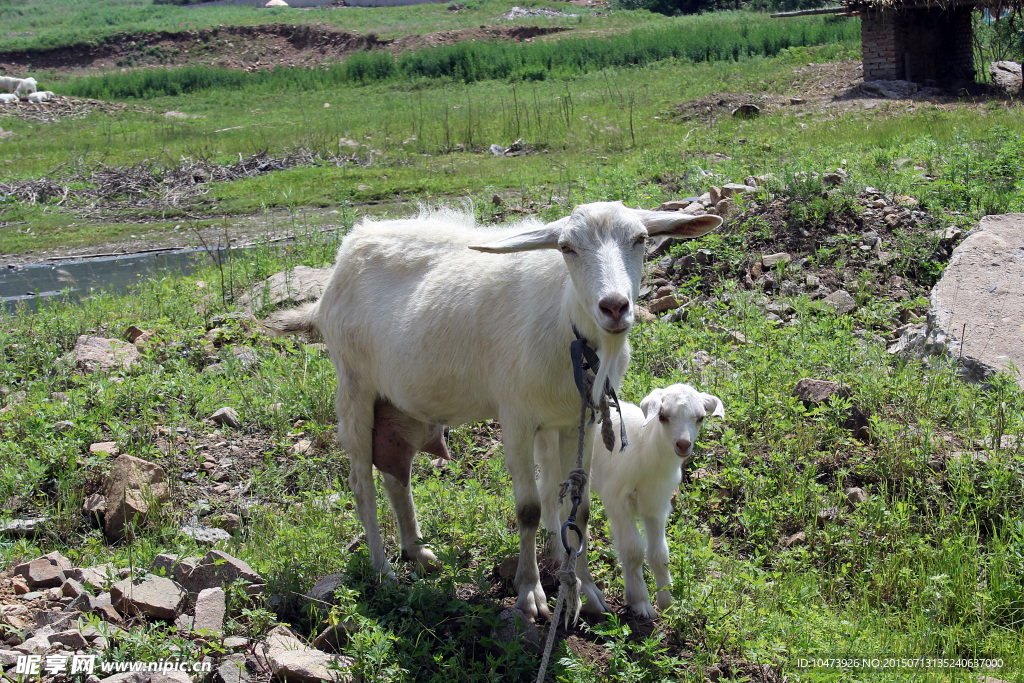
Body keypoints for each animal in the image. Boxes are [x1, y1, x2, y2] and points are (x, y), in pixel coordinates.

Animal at [264, 202, 720, 618]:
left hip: (399, 404)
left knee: (397, 476)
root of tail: (348, 248)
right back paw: (383, 571)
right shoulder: (516, 417)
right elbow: (530, 510)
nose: (614, 306)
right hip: (354, 386)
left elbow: (578, 511)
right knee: (362, 484)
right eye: (566, 247)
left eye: (640, 239)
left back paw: (416, 552)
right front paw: (531, 593)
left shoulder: (580, 423)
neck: (568, 327)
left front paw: (584, 592)